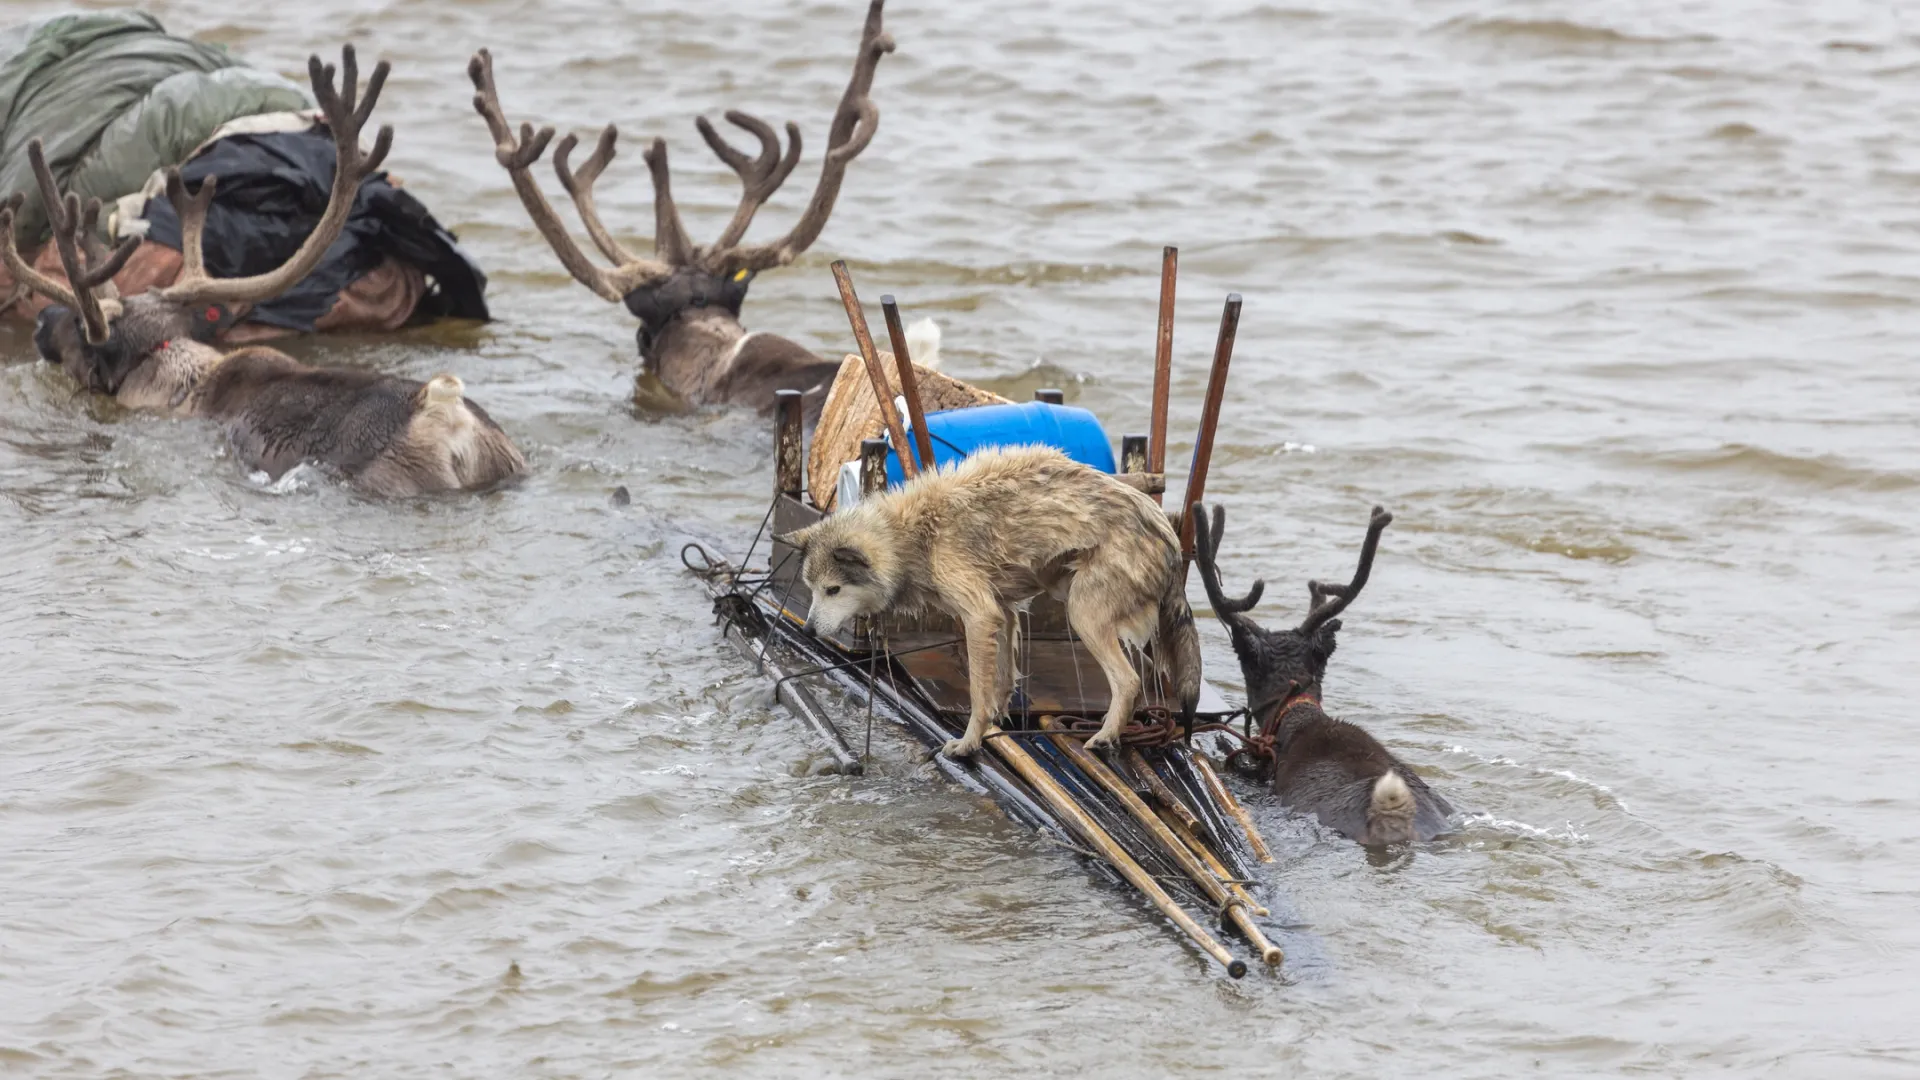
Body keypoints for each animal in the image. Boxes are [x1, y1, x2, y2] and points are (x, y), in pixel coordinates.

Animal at [768, 441, 1190, 753]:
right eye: (811, 589)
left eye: (833, 590)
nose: (807, 632)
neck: (913, 535)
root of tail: (1171, 536)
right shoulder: (1002, 611)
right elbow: (1000, 681)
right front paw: (995, 725)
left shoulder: (979, 615)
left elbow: (976, 689)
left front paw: (969, 742)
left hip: (1082, 613)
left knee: (1129, 681)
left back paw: (1105, 736)